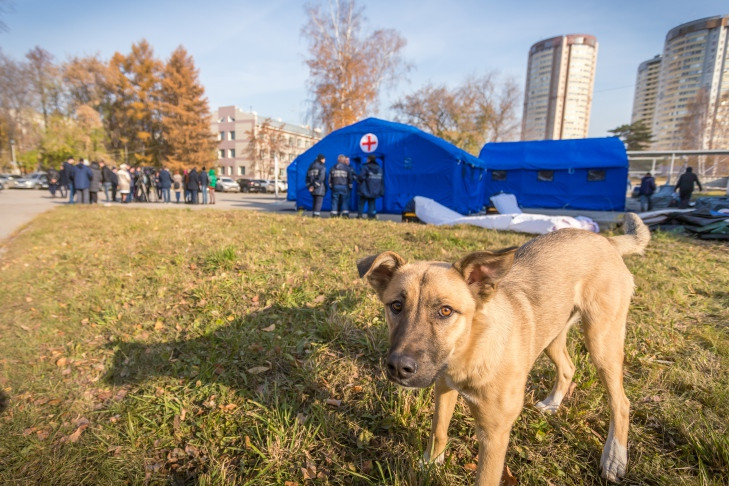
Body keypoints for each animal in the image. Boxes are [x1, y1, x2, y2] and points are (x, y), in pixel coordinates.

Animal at [356, 215, 648, 484]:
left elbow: (485, 476)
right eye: (396, 306)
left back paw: (614, 458)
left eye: (445, 311)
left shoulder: (493, 435)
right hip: (552, 335)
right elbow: (438, 429)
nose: (398, 368)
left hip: (602, 341)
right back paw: (553, 403)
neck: (470, 351)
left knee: (621, 402)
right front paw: (430, 463)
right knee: (568, 367)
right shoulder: (444, 386)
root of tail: (605, 240)